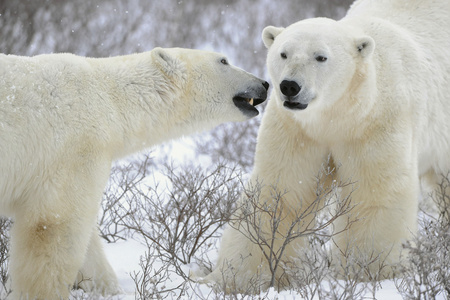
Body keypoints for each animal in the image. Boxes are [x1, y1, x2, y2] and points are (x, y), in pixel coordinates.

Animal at [0, 48, 268, 298]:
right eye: (223, 61)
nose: (264, 84)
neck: (109, 99)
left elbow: (86, 244)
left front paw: (110, 289)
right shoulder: (74, 151)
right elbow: (55, 227)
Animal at [207, 0, 450, 292]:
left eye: (320, 57)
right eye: (284, 53)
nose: (289, 86)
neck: (336, 115)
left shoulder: (377, 121)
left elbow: (374, 191)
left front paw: (370, 272)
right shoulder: (298, 129)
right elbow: (282, 189)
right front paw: (239, 278)